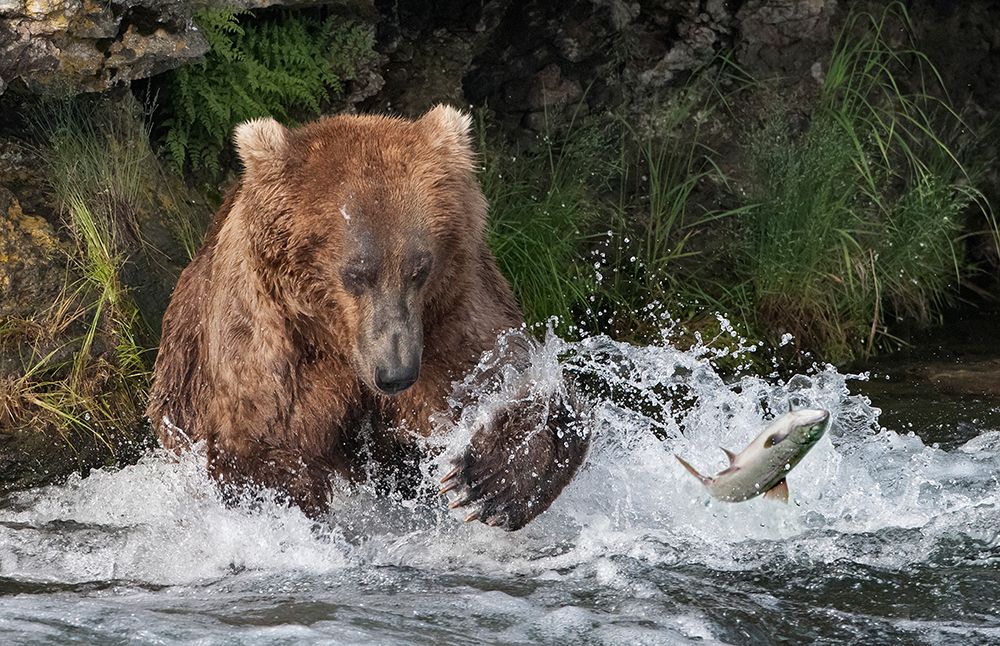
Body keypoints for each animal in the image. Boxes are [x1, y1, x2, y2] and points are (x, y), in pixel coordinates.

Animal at [147, 105, 590, 530]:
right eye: (355, 273)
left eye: (419, 268)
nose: (395, 373)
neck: (336, 340)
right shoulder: (267, 348)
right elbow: (254, 443)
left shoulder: (451, 315)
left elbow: (507, 378)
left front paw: (483, 482)